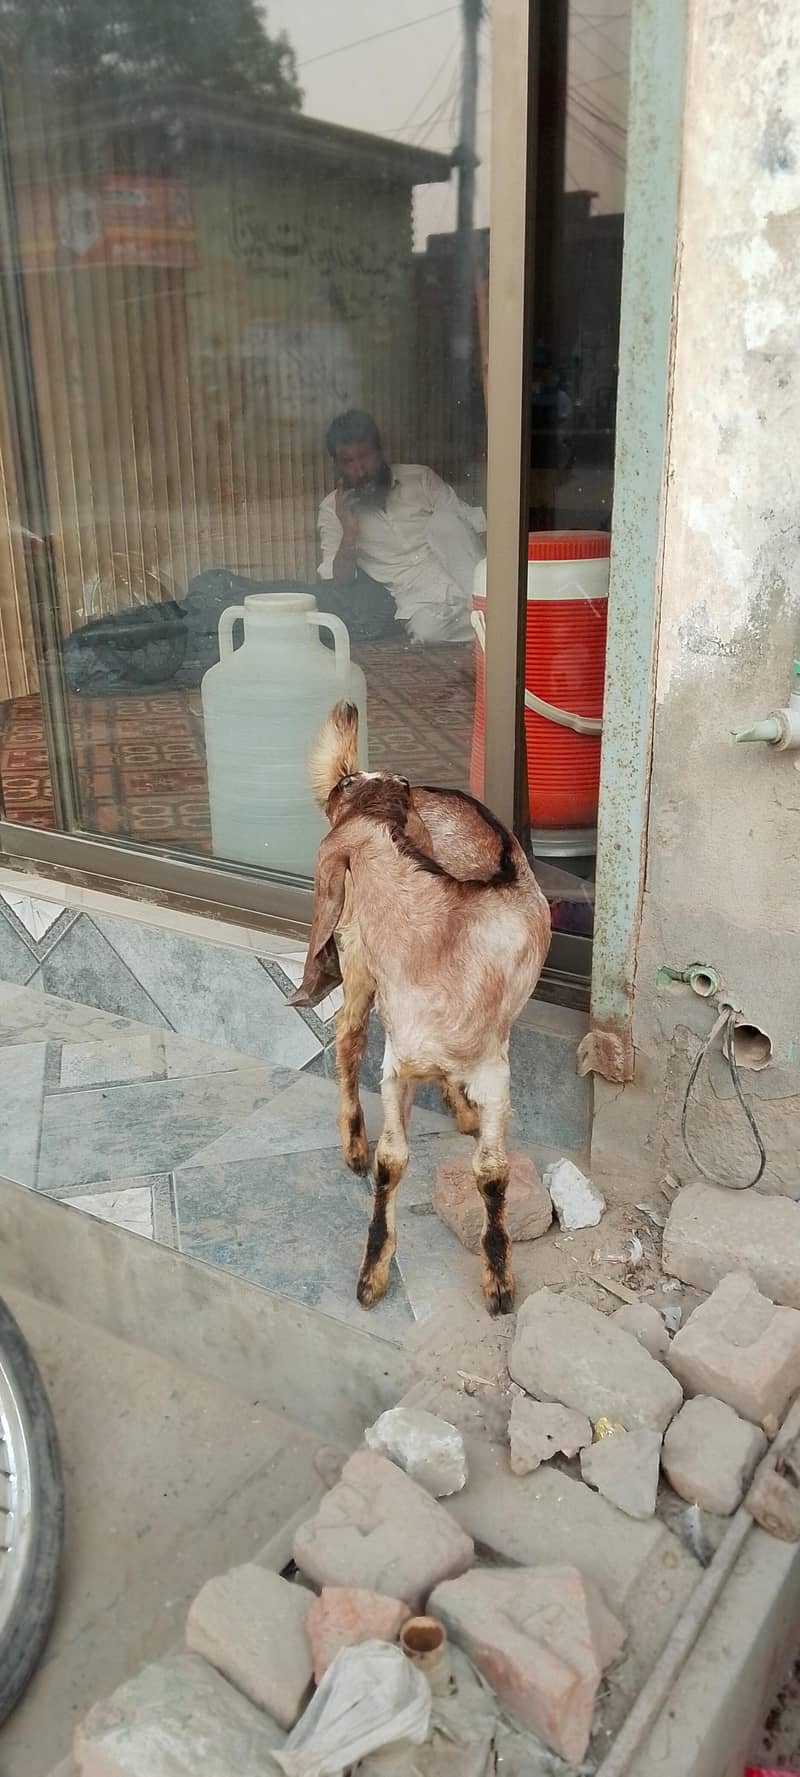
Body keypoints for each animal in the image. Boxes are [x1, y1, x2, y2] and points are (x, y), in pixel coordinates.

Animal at [290, 701, 551, 1316]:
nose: (350, 779)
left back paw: (459, 1108)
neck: (440, 941)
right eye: (351, 792)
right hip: (358, 960)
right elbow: (392, 1161)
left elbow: (492, 1171)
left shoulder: (495, 1070)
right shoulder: (395, 1066)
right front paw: (371, 1276)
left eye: (395, 792)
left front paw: (499, 1282)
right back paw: (353, 1144)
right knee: (348, 1036)